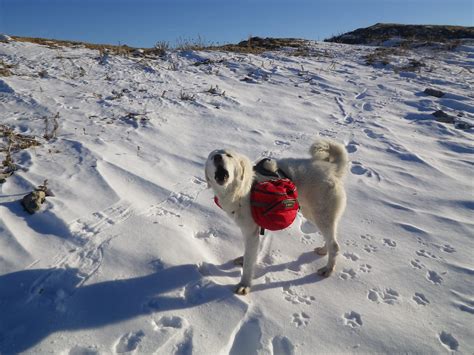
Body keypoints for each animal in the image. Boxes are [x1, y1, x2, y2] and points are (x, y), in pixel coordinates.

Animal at [205, 140, 348, 296]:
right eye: (212, 157)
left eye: (228, 155)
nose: (218, 157)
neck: (242, 190)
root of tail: (332, 169)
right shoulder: (253, 230)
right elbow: (251, 254)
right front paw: (244, 260)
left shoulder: (251, 232)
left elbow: (249, 263)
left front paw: (244, 285)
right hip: (313, 214)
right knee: (330, 239)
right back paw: (323, 250)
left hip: (321, 215)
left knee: (335, 245)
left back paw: (328, 270)